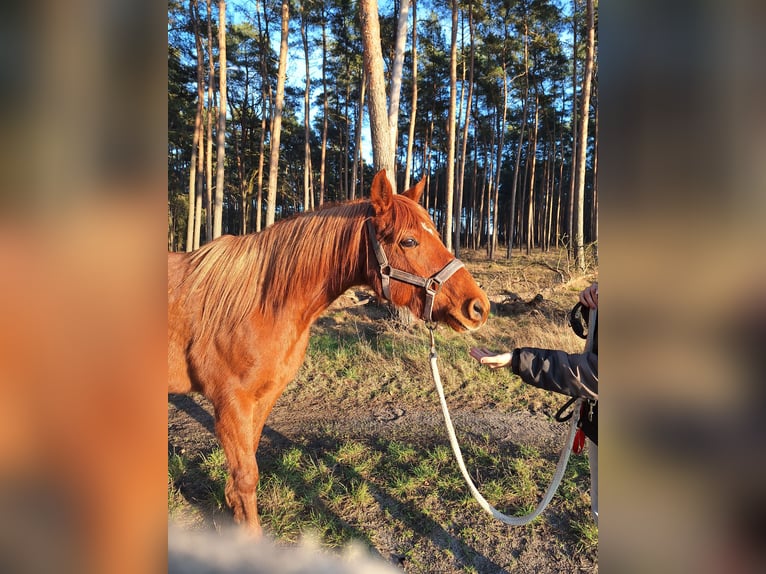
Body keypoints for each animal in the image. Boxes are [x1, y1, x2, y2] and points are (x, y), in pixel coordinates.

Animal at [169, 171, 492, 536]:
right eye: (409, 241)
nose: (478, 307)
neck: (257, 304)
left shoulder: (261, 399)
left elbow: (246, 465)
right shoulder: (230, 403)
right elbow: (246, 476)